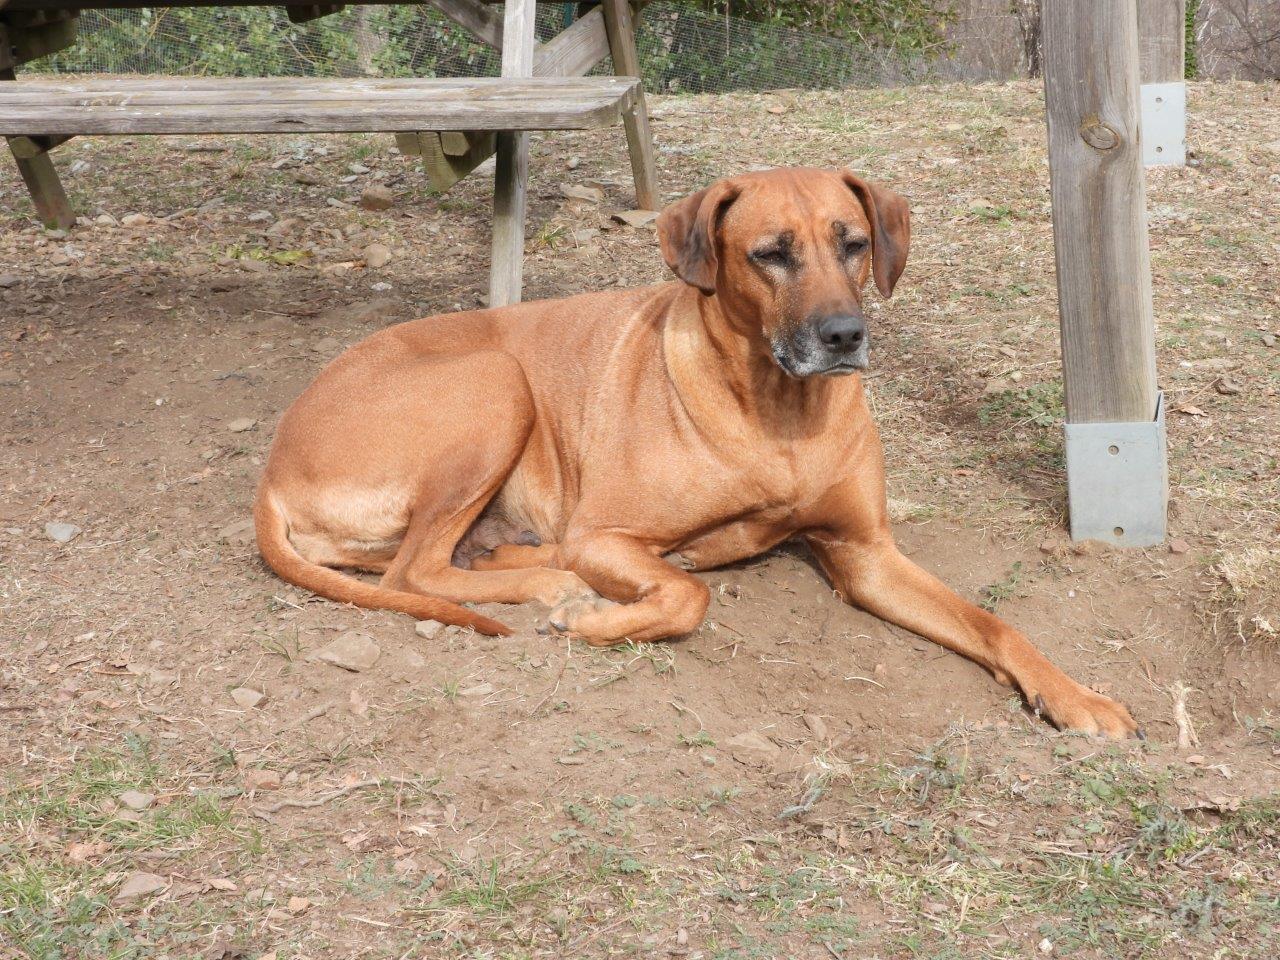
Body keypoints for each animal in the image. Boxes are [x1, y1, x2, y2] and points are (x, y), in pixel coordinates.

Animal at [254, 167, 1136, 737]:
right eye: (770, 252)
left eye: (853, 243)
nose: (846, 336)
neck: (778, 416)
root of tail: (272, 464)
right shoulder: (607, 532)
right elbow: (687, 595)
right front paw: (603, 620)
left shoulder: (867, 555)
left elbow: (995, 624)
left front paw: (1076, 696)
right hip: (495, 382)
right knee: (415, 572)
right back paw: (558, 587)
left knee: (425, 562)